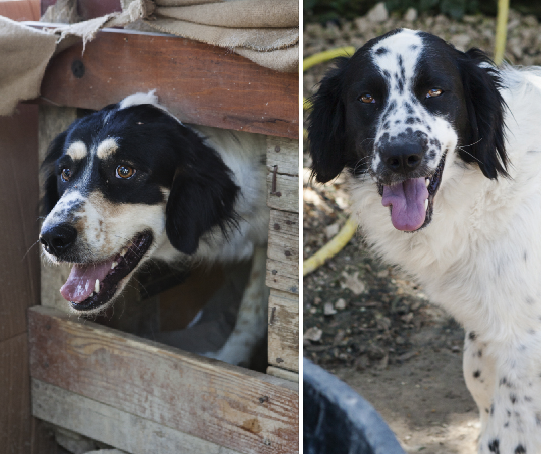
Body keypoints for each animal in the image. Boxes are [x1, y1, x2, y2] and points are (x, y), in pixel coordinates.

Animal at [308, 30, 541, 452]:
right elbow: (478, 376)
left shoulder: (525, 345)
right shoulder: (488, 326)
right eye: (366, 98)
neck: (484, 191)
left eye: (435, 91)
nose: (402, 156)